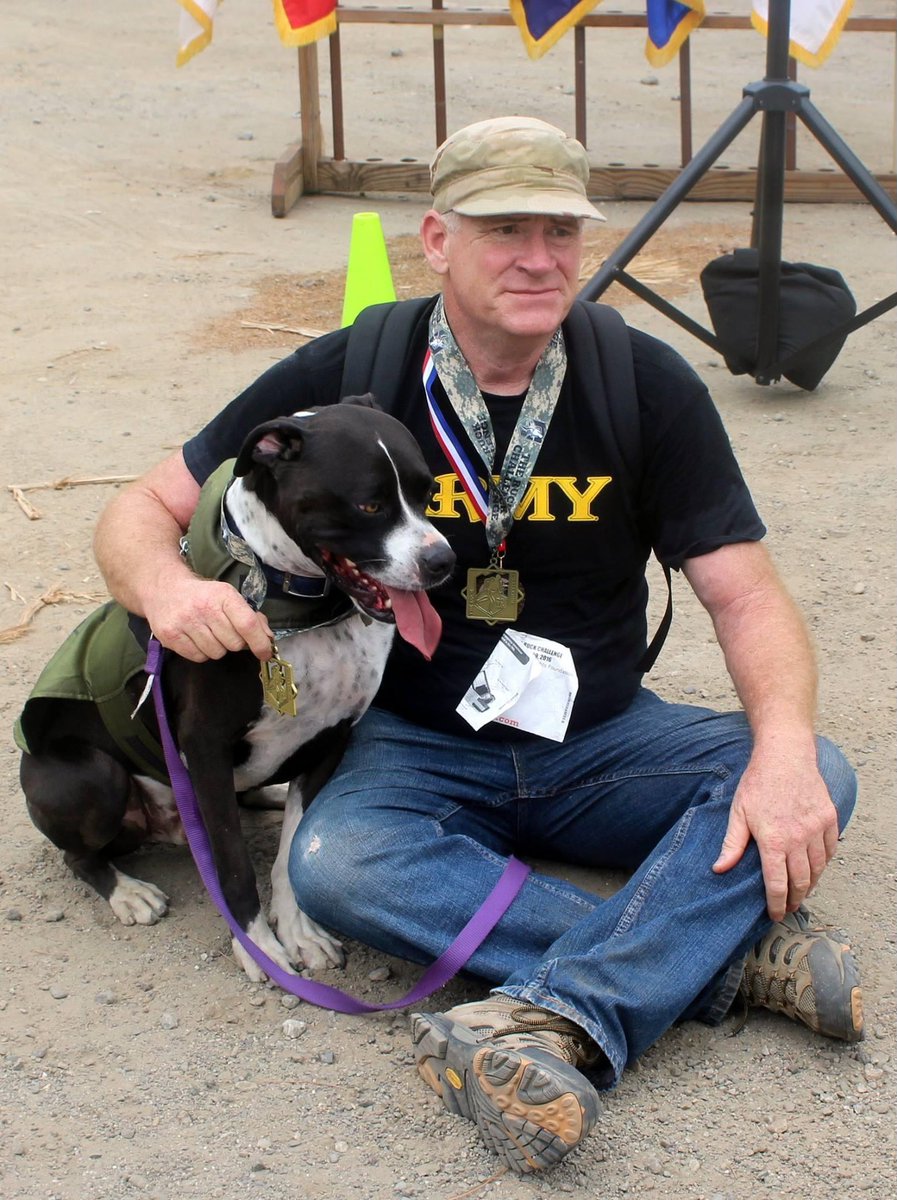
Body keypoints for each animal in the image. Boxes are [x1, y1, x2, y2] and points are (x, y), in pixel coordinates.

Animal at [17, 398, 455, 979]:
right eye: (370, 505)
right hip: (93, 776)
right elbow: (233, 865)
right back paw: (127, 891)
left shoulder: (332, 737)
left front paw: (297, 932)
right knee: (79, 853)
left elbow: (291, 852)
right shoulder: (205, 749)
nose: (443, 562)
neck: (300, 603)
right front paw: (260, 948)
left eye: (427, 493)